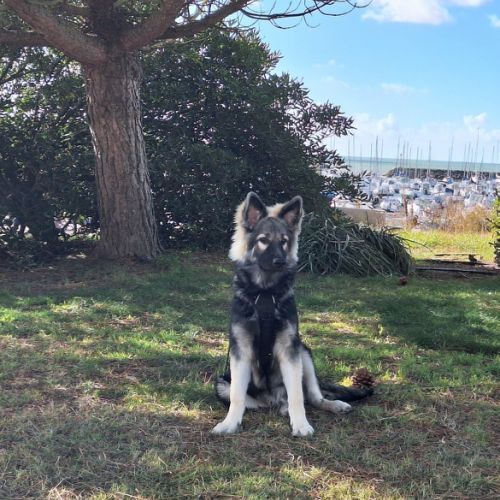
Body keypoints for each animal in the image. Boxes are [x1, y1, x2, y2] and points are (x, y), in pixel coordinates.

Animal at [212, 192, 373, 437]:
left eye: (284, 241)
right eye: (263, 240)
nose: (280, 261)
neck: (266, 293)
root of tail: (272, 399)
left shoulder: (290, 349)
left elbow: (297, 395)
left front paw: (301, 424)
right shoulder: (240, 352)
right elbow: (237, 396)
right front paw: (230, 423)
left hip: (304, 353)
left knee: (312, 397)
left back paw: (330, 405)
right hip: (222, 382)